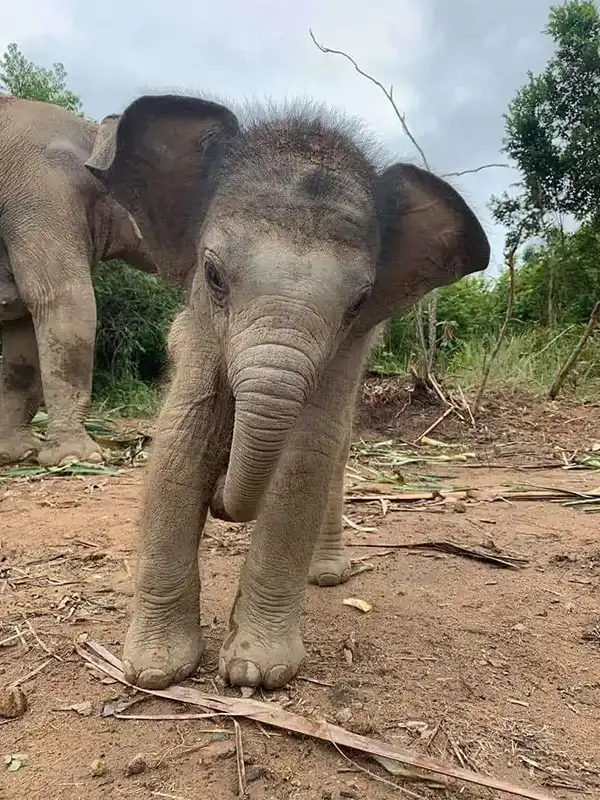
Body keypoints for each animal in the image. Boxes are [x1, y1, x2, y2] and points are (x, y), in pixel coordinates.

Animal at [86, 94, 491, 691]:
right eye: (213, 275)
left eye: (357, 303)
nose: (222, 497)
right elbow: (182, 443)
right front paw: (156, 672)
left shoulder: (349, 347)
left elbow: (305, 457)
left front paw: (257, 673)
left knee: (335, 452)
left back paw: (326, 576)